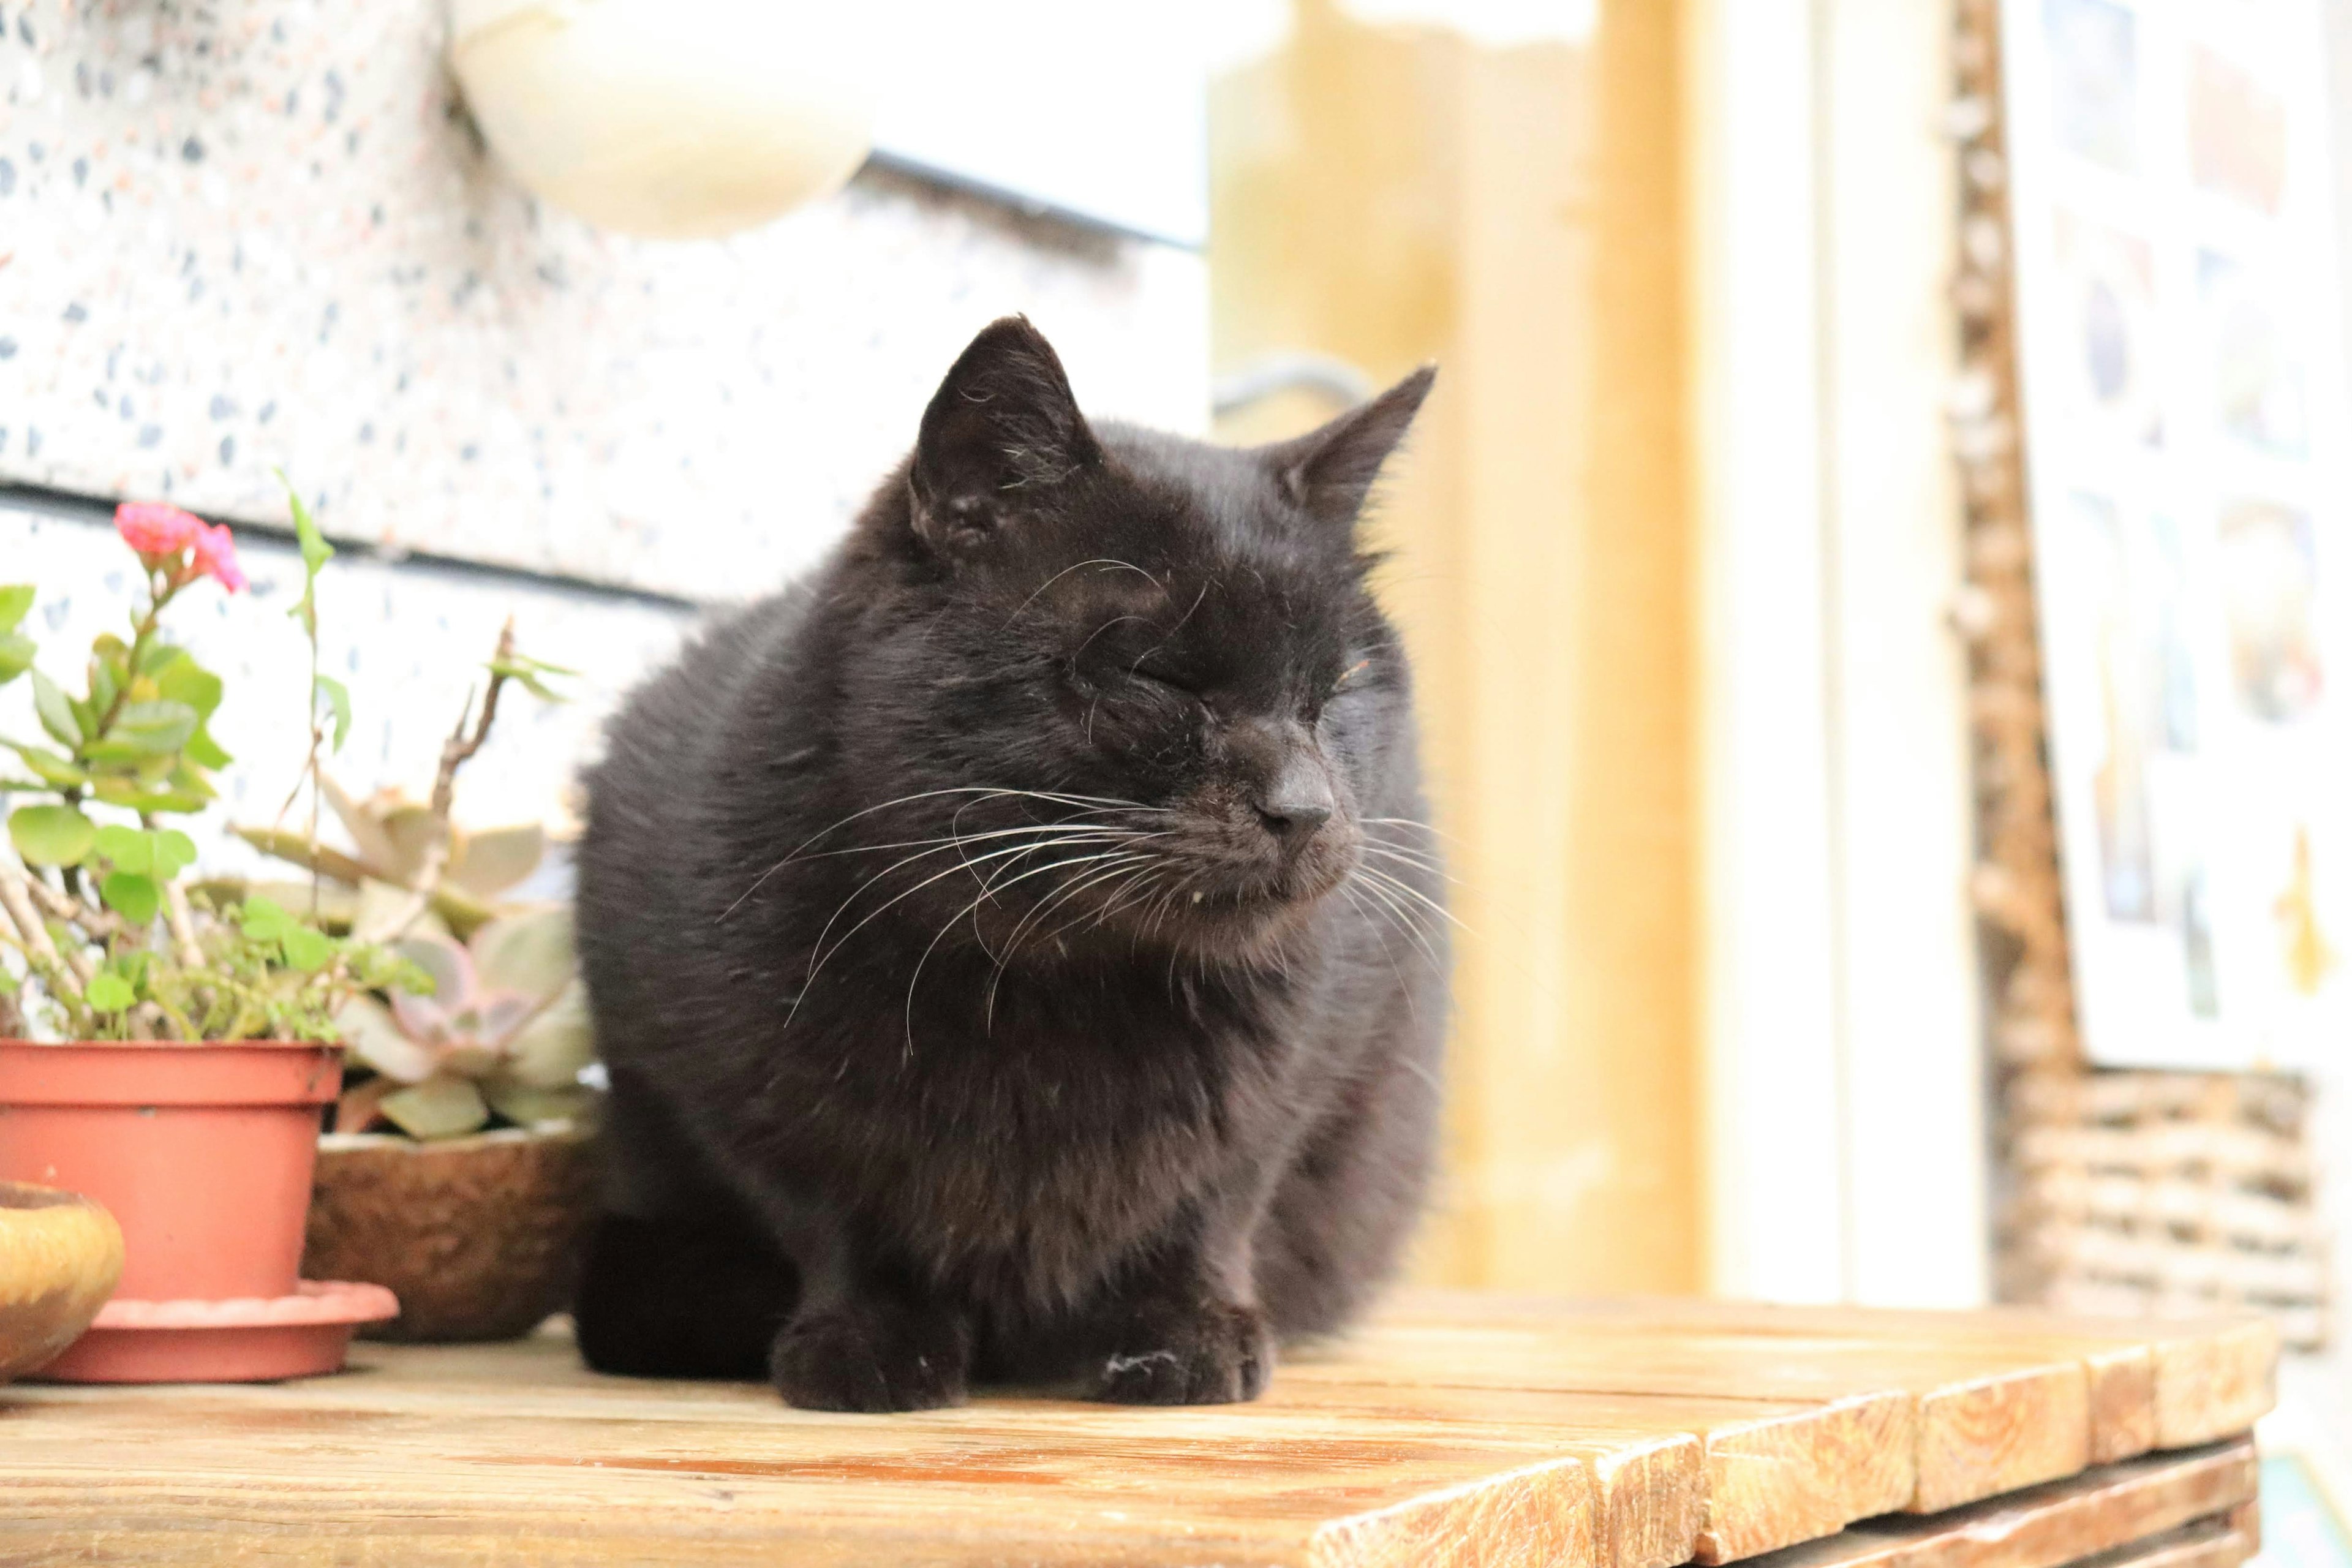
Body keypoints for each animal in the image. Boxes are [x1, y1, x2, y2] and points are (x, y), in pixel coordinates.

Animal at [573, 315, 1449, 1410]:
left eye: (1343, 683)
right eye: (1154, 674)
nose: (1305, 806)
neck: (1053, 989)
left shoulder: (1311, 1071)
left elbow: (1214, 1200)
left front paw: (1188, 1334)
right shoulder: (721, 1081)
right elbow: (830, 1211)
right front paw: (866, 1342)